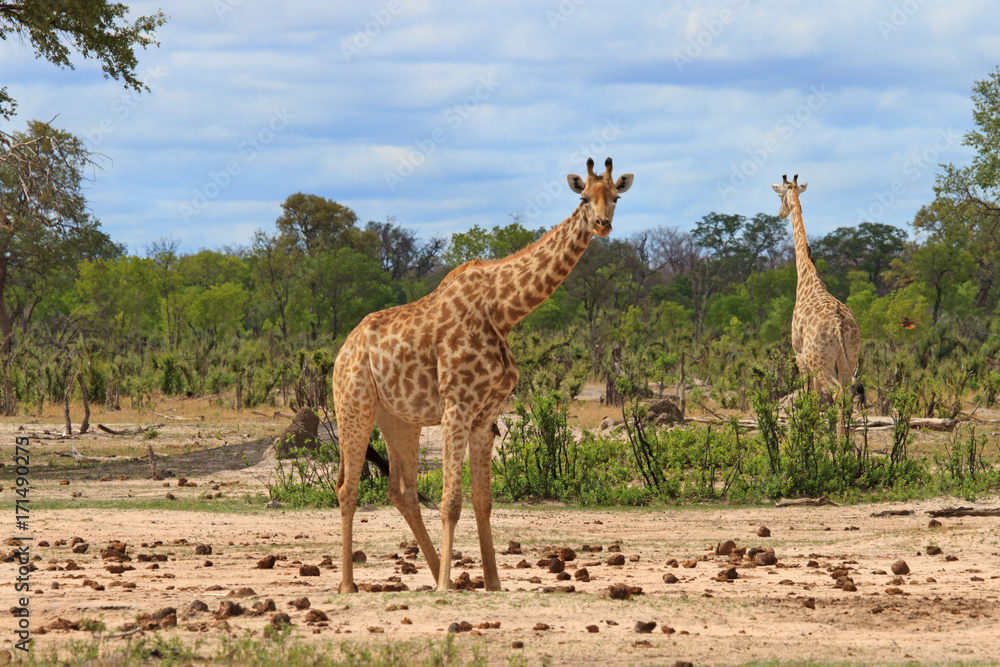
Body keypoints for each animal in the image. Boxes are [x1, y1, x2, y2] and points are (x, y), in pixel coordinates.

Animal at [333, 158, 634, 593]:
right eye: (583, 197)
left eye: (615, 197)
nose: (601, 223)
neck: (503, 311)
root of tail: (343, 350)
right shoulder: (456, 406)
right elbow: (451, 501)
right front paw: (446, 586)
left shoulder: (485, 414)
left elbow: (483, 501)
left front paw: (491, 582)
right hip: (353, 405)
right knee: (347, 488)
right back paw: (350, 585)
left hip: (399, 418)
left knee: (401, 490)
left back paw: (436, 571)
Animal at [772, 175, 861, 428]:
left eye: (780, 195)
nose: (780, 213)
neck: (807, 277)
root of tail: (839, 326)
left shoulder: (799, 355)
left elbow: (808, 399)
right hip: (849, 360)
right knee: (847, 395)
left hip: (819, 362)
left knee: (837, 393)